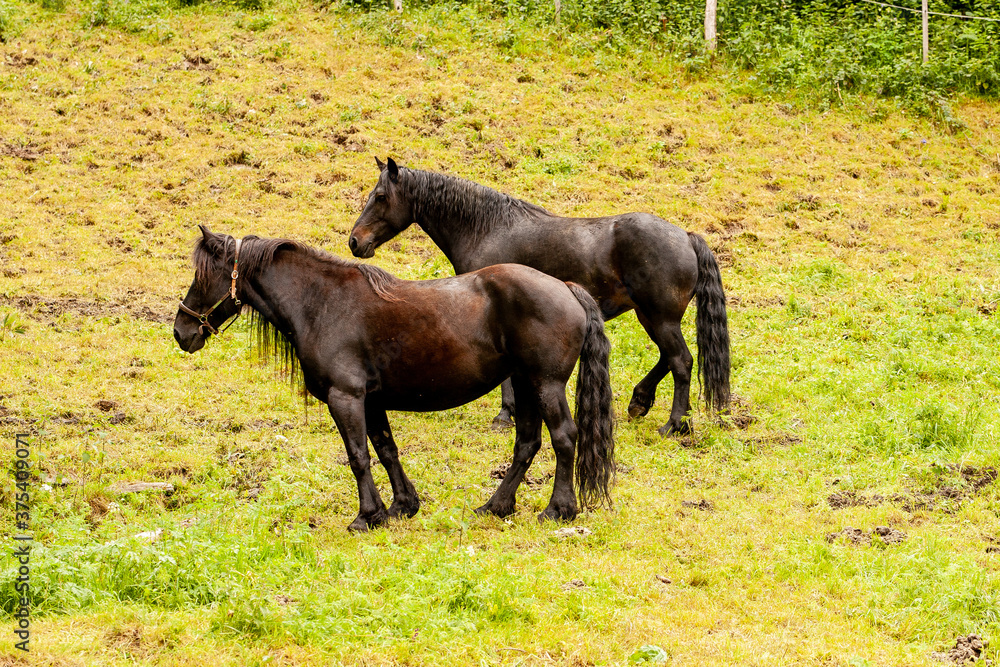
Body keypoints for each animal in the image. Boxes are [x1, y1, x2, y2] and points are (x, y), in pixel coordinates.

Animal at [174, 226, 615, 532]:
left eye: (203, 275)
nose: (181, 331)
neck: (322, 303)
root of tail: (567, 288)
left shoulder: (346, 397)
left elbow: (358, 456)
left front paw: (368, 515)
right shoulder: (371, 400)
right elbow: (386, 450)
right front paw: (403, 505)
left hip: (545, 385)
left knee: (563, 438)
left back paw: (558, 509)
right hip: (524, 383)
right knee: (527, 442)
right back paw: (496, 506)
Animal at [348, 158, 732, 436]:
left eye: (380, 197)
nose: (355, 241)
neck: (487, 229)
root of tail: (685, 236)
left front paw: (504, 415)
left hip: (660, 319)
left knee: (681, 362)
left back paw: (674, 424)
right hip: (652, 317)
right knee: (670, 359)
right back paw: (643, 402)